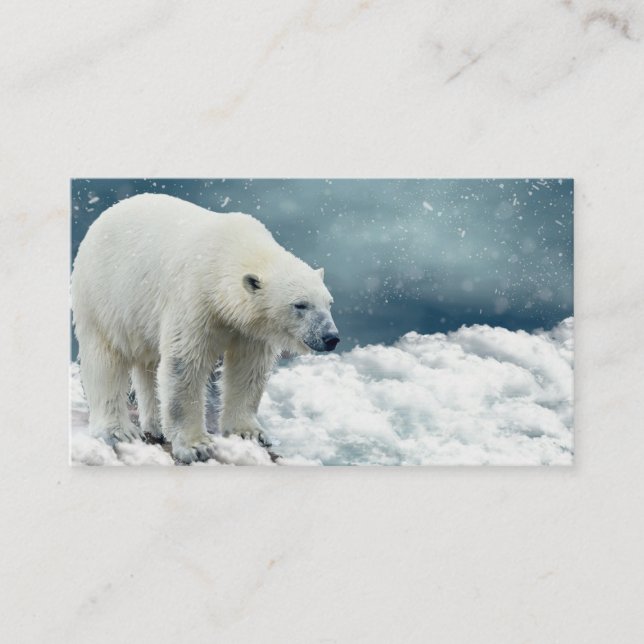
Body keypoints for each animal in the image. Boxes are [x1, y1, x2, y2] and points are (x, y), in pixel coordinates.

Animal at [71, 193, 339, 463]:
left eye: (329, 303)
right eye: (300, 305)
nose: (331, 337)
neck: (226, 253)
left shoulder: (250, 328)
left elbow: (248, 369)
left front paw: (249, 432)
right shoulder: (194, 299)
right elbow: (185, 364)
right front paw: (196, 446)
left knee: (149, 364)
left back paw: (156, 426)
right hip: (104, 298)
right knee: (105, 361)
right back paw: (119, 431)